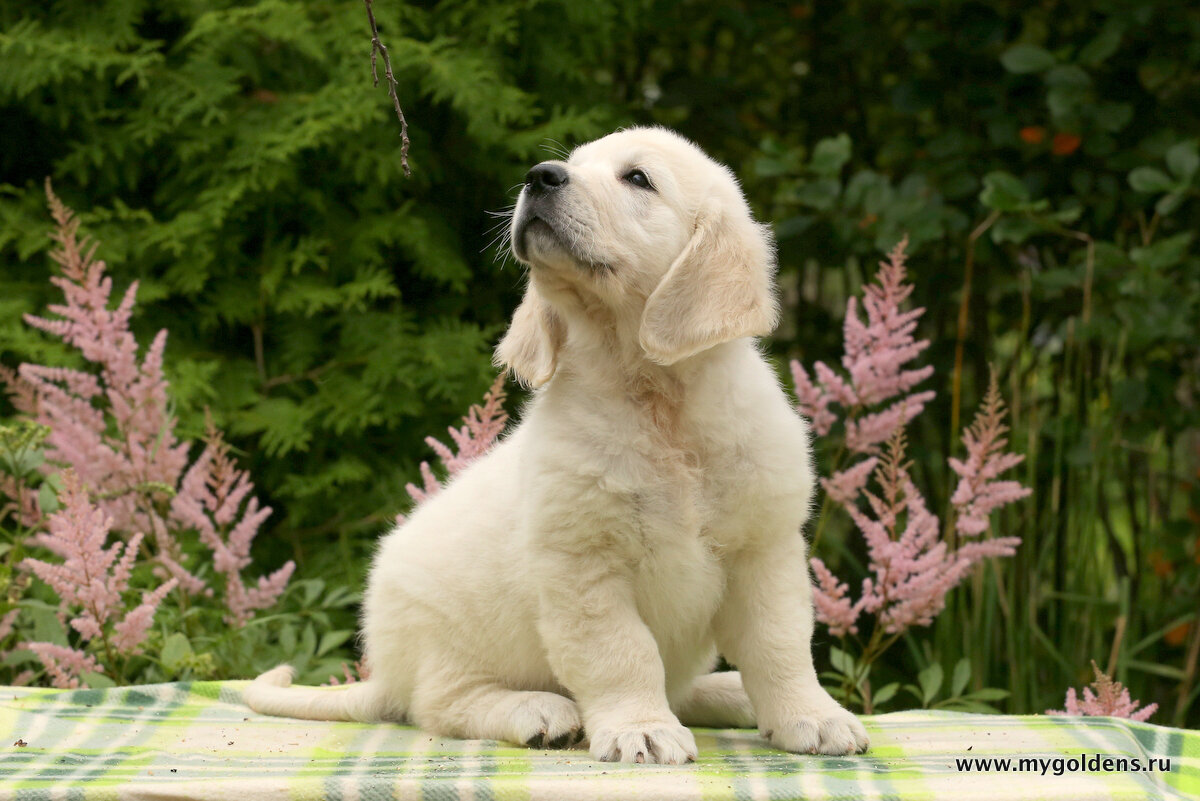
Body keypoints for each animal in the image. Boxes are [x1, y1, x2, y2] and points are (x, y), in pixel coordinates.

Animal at [243, 125, 868, 762]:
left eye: (637, 178)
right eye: (570, 163)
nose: (538, 176)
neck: (657, 402)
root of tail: (385, 675)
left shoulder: (764, 551)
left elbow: (780, 645)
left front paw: (812, 716)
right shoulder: (583, 564)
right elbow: (622, 653)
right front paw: (641, 727)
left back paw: (728, 694)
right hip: (444, 636)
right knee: (439, 704)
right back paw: (537, 710)